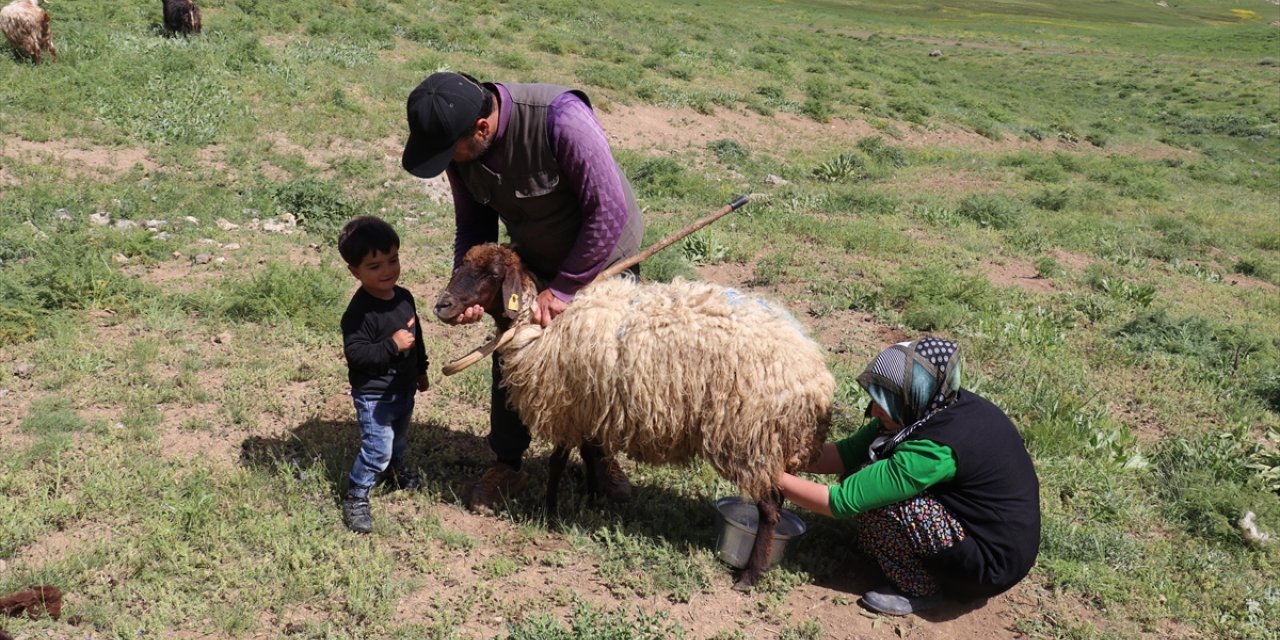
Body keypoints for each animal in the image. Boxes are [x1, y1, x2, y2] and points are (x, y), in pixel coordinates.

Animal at [435, 243, 834, 588]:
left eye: (491, 274)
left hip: (749, 436)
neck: (537, 320)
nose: (442, 305)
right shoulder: (591, 407)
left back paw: (751, 576)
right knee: (776, 501)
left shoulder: (566, 407)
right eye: (463, 263)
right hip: (763, 441)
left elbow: (558, 462)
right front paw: (591, 500)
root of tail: (814, 371)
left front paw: (548, 512)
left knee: (770, 509)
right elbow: (590, 454)